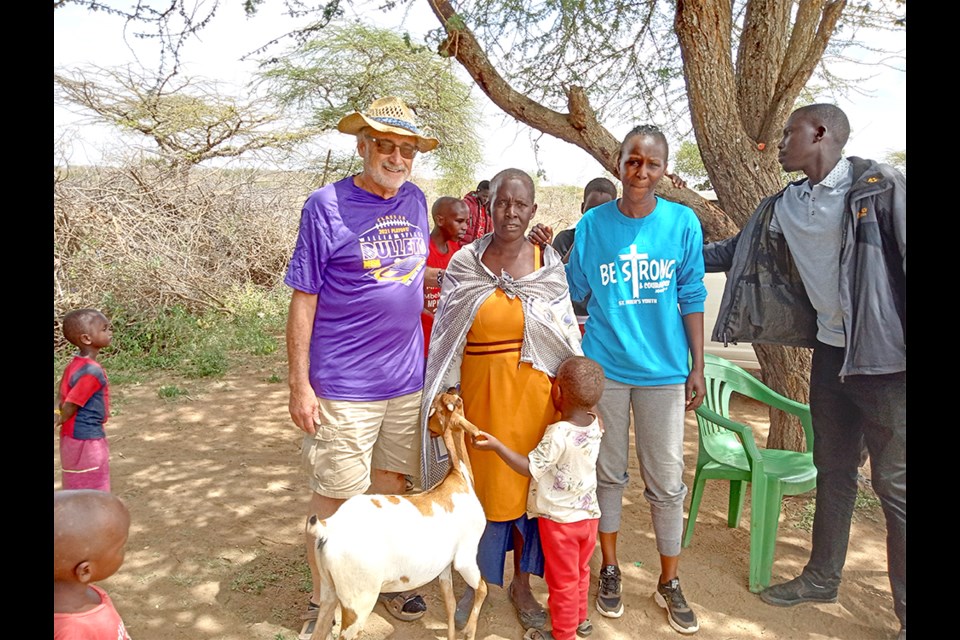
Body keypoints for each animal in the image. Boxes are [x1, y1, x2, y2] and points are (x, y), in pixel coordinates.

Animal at [306, 392, 488, 636]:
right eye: (452, 402)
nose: (452, 388)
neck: (459, 477)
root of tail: (328, 528)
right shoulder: (465, 557)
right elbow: (482, 588)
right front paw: (469, 631)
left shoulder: (444, 566)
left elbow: (450, 604)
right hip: (358, 600)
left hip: (329, 590)